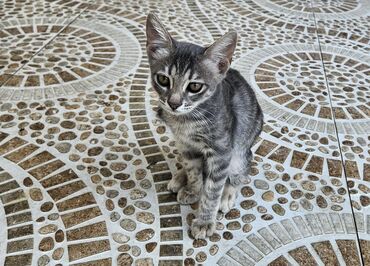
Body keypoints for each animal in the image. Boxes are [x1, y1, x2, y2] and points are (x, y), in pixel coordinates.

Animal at [145, 13, 264, 240]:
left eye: (194, 86)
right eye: (163, 79)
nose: (173, 103)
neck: (186, 121)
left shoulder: (221, 151)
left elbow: (212, 190)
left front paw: (204, 221)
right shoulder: (185, 144)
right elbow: (193, 170)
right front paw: (193, 189)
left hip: (240, 152)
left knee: (240, 173)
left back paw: (228, 195)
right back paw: (179, 177)